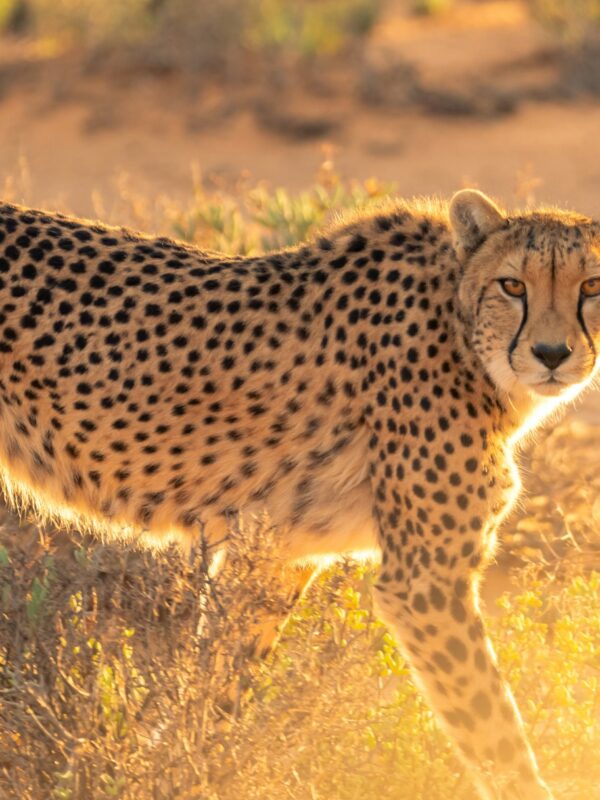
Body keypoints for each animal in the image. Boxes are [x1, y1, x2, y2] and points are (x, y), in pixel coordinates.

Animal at [1, 188, 599, 799]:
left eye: (593, 285)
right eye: (513, 285)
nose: (552, 353)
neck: (462, 335)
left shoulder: (278, 556)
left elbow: (217, 686)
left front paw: (184, 769)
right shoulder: (425, 582)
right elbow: (495, 729)